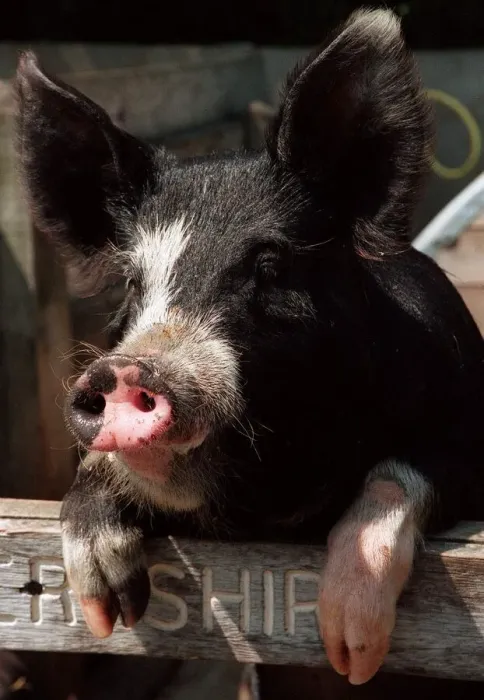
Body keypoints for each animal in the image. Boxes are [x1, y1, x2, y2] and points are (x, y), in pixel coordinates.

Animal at [14, 7, 484, 687]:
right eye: (131, 281)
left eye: (270, 264)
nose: (125, 370)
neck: (272, 506)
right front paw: (108, 614)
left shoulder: (464, 444)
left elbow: (398, 475)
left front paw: (350, 650)